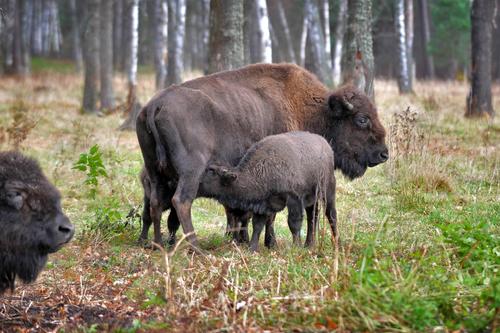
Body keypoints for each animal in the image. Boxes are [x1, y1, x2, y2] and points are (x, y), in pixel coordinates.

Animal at [199, 131, 336, 250]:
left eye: (211, 171)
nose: (197, 180)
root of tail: (326, 144)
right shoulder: (263, 204)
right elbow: (257, 225)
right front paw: (252, 248)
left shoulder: (294, 198)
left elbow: (293, 223)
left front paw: (296, 246)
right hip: (311, 199)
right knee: (313, 216)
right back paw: (309, 245)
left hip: (328, 191)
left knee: (331, 214)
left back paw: (336, 242)